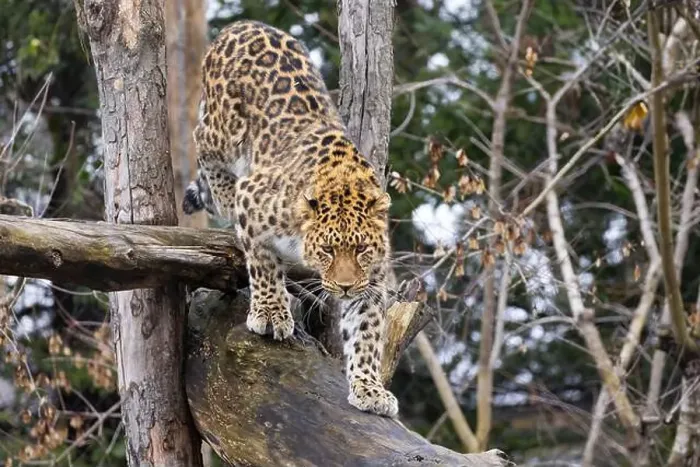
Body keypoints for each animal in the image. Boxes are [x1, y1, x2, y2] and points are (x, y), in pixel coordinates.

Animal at [182, 20, 398, 418]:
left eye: (361, 249)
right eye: (327, 251)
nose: (345, 287)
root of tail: (239, 25)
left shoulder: (372, 281)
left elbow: (366, 333)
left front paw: (369, 388)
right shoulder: (253, 202)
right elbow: (264, 265)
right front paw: (270, 313)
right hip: (225, 131)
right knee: (201, 139)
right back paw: (223, 195)